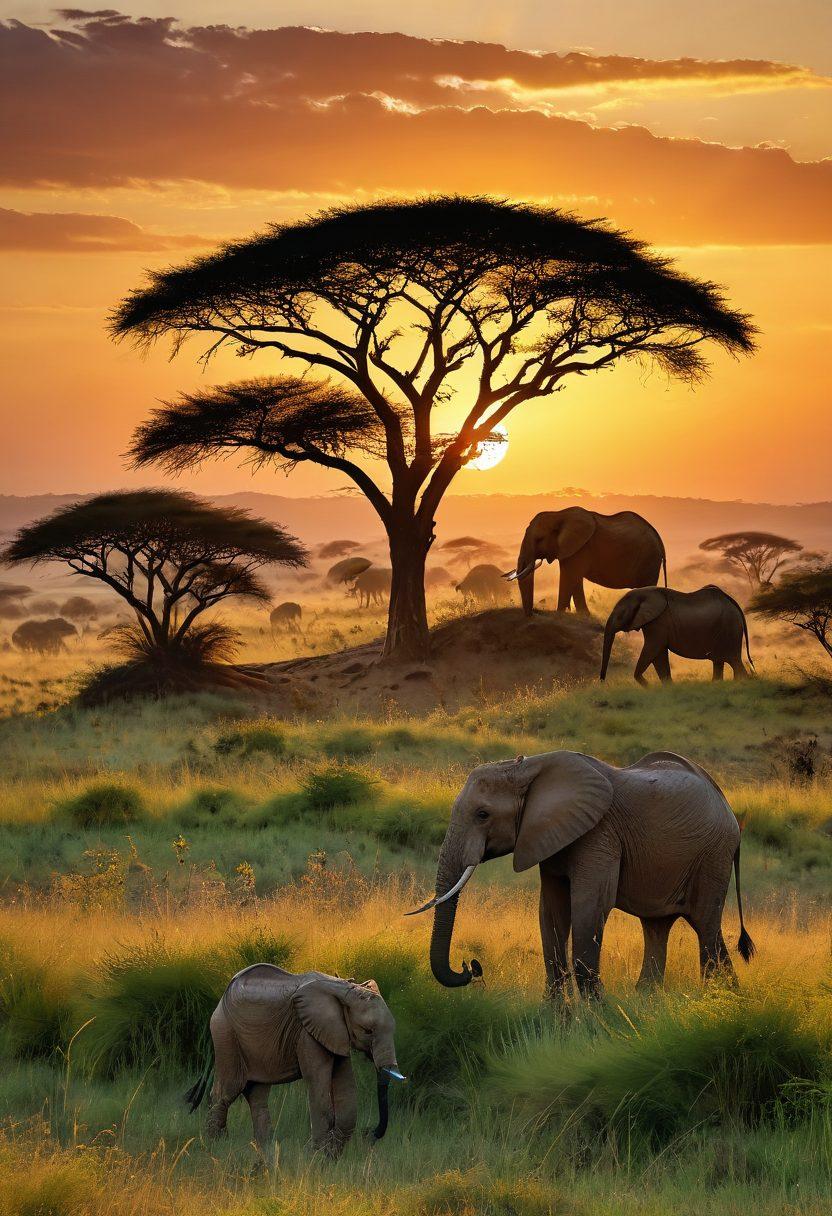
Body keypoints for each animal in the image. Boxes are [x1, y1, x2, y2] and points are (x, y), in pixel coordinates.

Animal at [185, 965, 405, 1158]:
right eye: (368, 1031)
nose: (369, 1134)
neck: (343, 988)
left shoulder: (335, 1034)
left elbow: (346, 1094)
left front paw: (329, 1158)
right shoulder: (308, 1033)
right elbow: (318, 1087)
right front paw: (313, 1156)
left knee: (257, 1094)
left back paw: (265, 1148)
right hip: (225, 1031)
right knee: (228, 1090)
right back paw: (216, 1145)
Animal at [409, 750, 754, 1000]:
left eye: (483, 814)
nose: (471, 966)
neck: (529, 768)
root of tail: (728, 807)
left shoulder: (599, 834)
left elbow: (591, 905)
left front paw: (598, 1025)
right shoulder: (548, 837)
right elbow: (552, 911)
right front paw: (555, 1024)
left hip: (713, 855)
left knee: (704, 925)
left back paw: (715, 1002)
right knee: (662, 926)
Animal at [506, 507, 666, 616]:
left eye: (539, 539)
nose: (533, 613)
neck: (558, 514)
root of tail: (660, 541)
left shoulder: (580, 548)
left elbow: (569, 577)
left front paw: (559, 614)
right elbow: (574, 579)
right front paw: (584, 616)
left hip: (649, 561)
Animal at [600, 585, 753, 685]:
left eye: (620, 616)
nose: (601, 682)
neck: (644, 592)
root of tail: (733, 602)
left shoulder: (658, 622)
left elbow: (653, 649)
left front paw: (647, 685)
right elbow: (659, 655)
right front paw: (667, 688)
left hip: (730, 629)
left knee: (734, 661)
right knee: (719, 662)